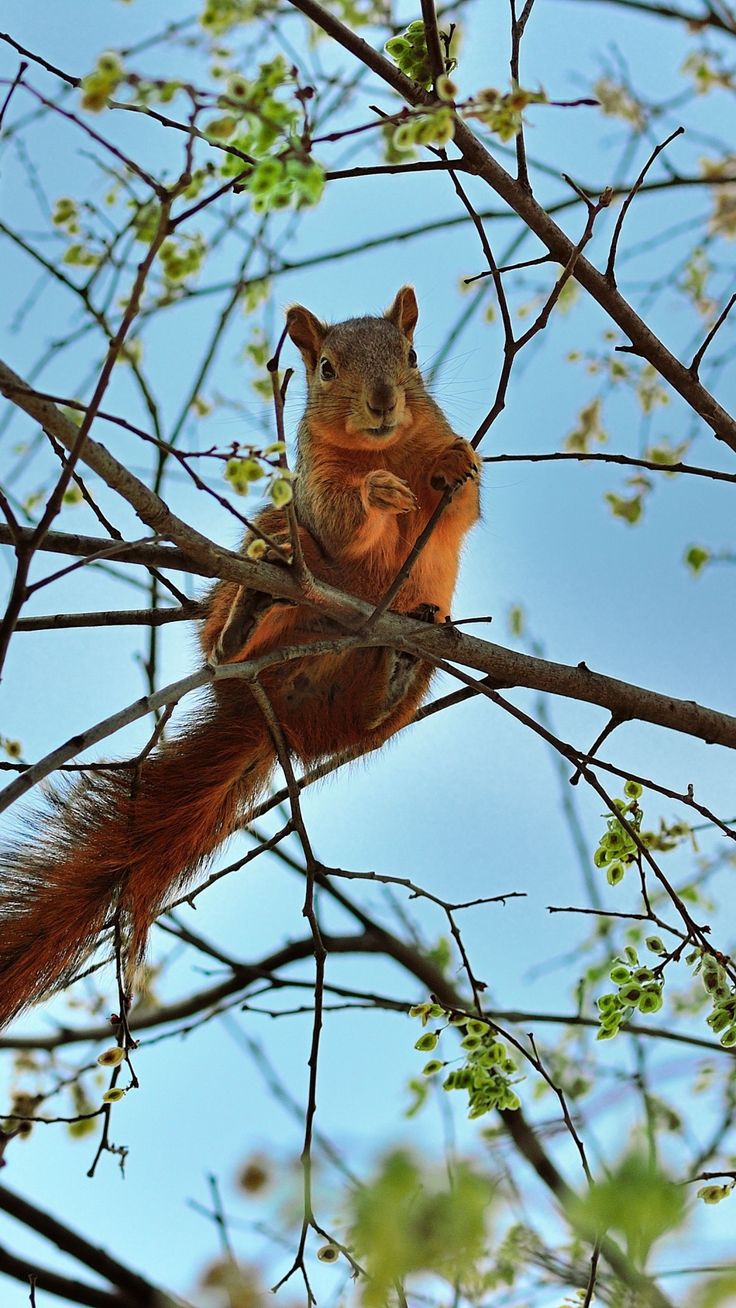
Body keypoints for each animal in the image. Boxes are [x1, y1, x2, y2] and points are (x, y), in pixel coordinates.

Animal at [0, 286, 480, 1029]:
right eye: (326, 369)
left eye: (410, 356)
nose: (383, 401)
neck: (391, 449)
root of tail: (263, 709)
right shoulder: (313, 487)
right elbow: (343, 519)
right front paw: (376, 493)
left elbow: (460, 507)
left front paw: (452, 466)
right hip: (271, 539)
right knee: (266, 573)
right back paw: (246, 617)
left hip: (392, 685)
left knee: (375, 707)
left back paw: (393, 673)